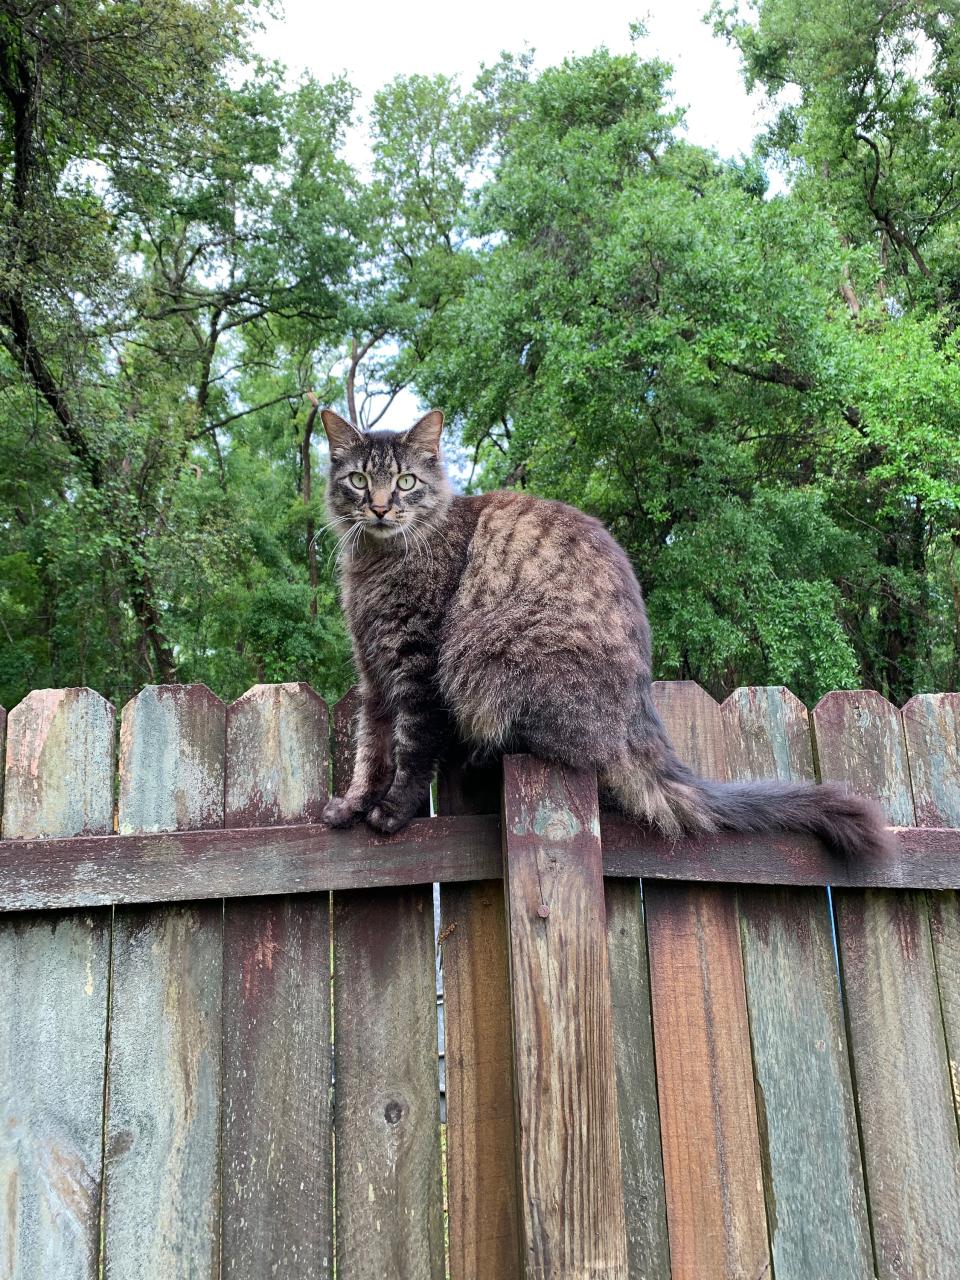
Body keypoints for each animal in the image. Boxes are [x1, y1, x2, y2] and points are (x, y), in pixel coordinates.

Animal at [320, 404, 890, 855]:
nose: (379, 507)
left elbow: (412, 750)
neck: (376, 565)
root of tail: (637, 711)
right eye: (358, 481)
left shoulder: (417, 665)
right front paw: (353, 805)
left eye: (405, 483)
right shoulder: (373, 675)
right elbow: (370, 749)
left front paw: (391, 812)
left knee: (560, 748)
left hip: (499, 659)